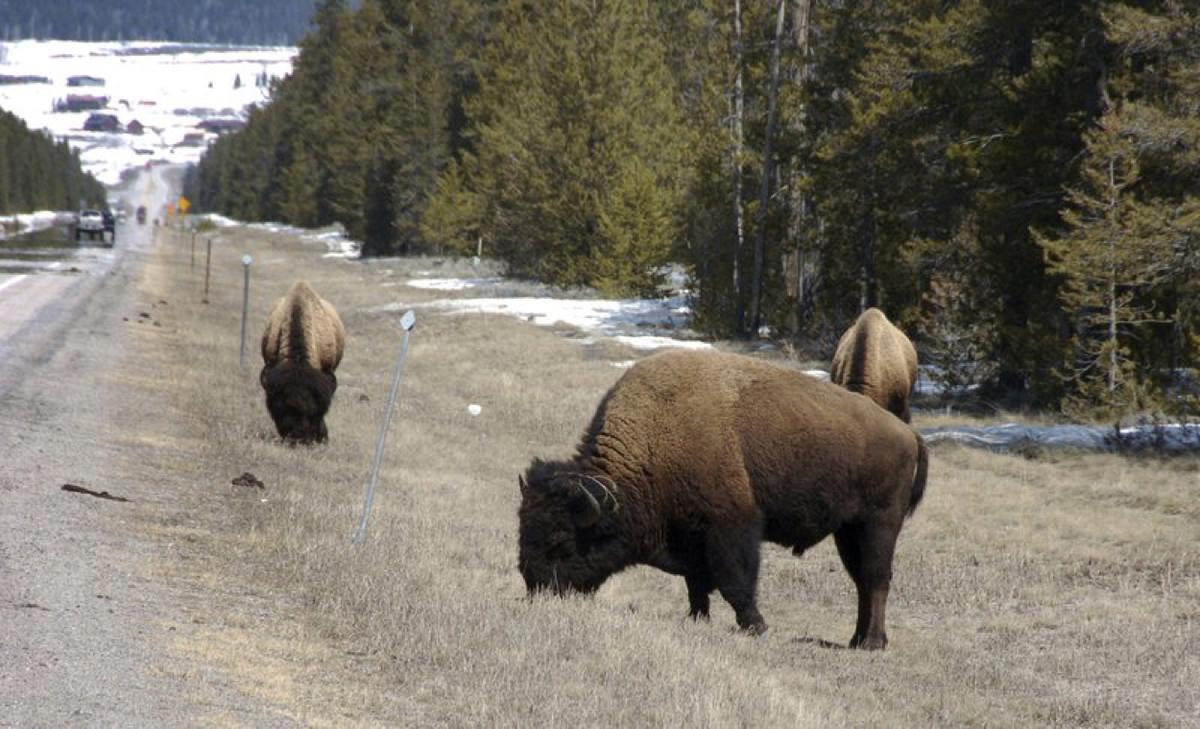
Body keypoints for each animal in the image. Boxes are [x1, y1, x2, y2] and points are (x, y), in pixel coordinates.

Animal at [518, 349, 928, 650]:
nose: (535, 587)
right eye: (524, 532)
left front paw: (756, 626)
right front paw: (697, 619)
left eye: (562, 542)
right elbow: (697, 585)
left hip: (878, 523)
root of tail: (907, 434)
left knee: (876, 578)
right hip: (848, 531)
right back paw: (857, 639)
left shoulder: (731, 526)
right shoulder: (691, 539)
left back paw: (872, 643)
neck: (654, 444)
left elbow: (734, 580)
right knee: (861, 581)